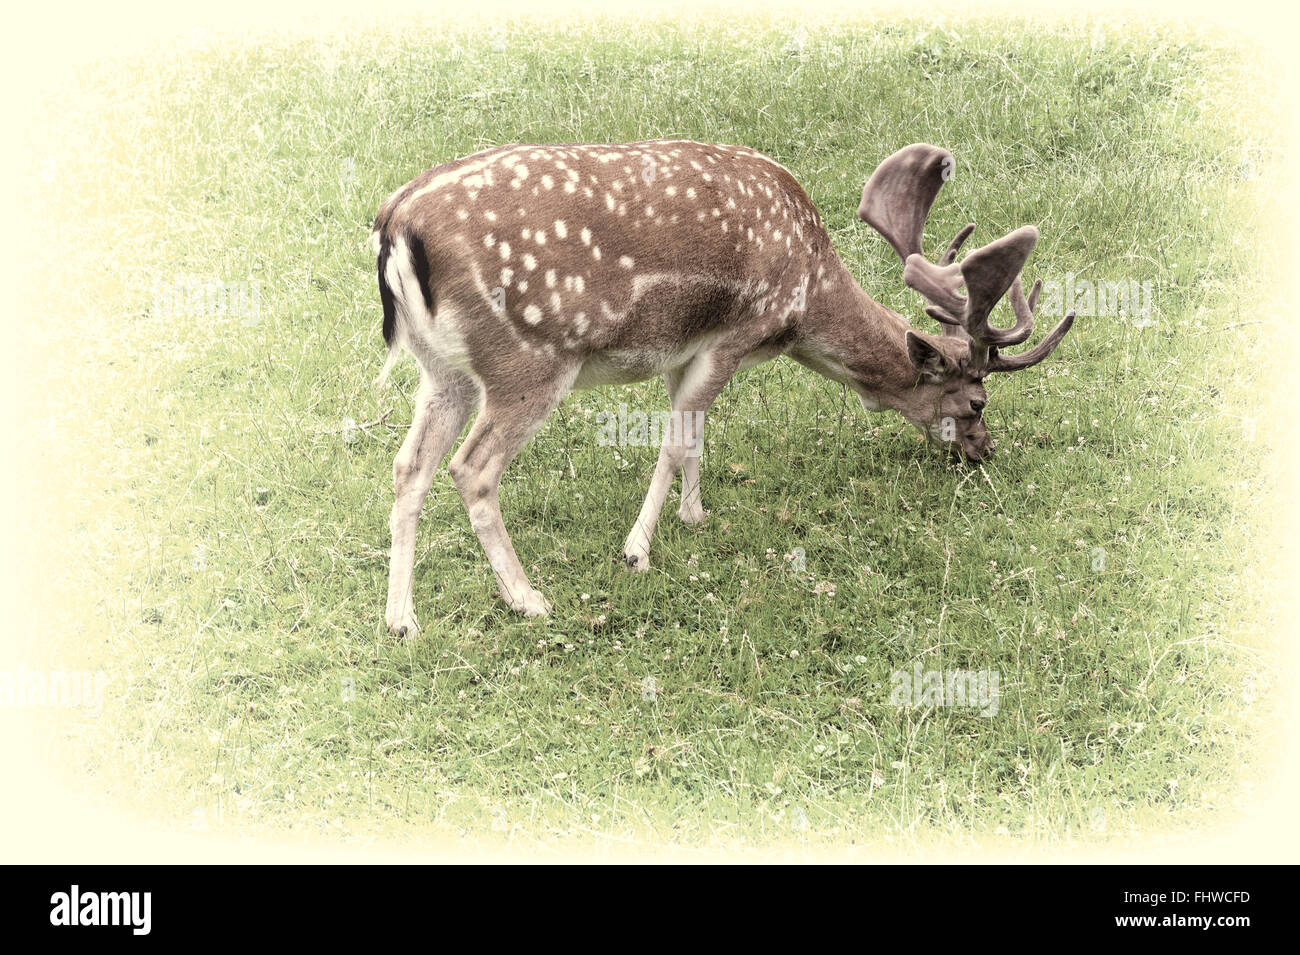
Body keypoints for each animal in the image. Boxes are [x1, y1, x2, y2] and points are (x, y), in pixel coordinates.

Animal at [371, 140, 1075, 632]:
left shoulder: (684, 349)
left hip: (443, 370)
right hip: (528, 361)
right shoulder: (736, 333)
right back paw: (527, 599)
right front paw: (638, 551)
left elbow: (694, 434)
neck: (804, 300)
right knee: (471, 468)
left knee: (409, 465)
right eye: (977, 400)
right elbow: (676, 439)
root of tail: (395, 226)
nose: (985, 451)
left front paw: (694, 514)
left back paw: (402, 620)